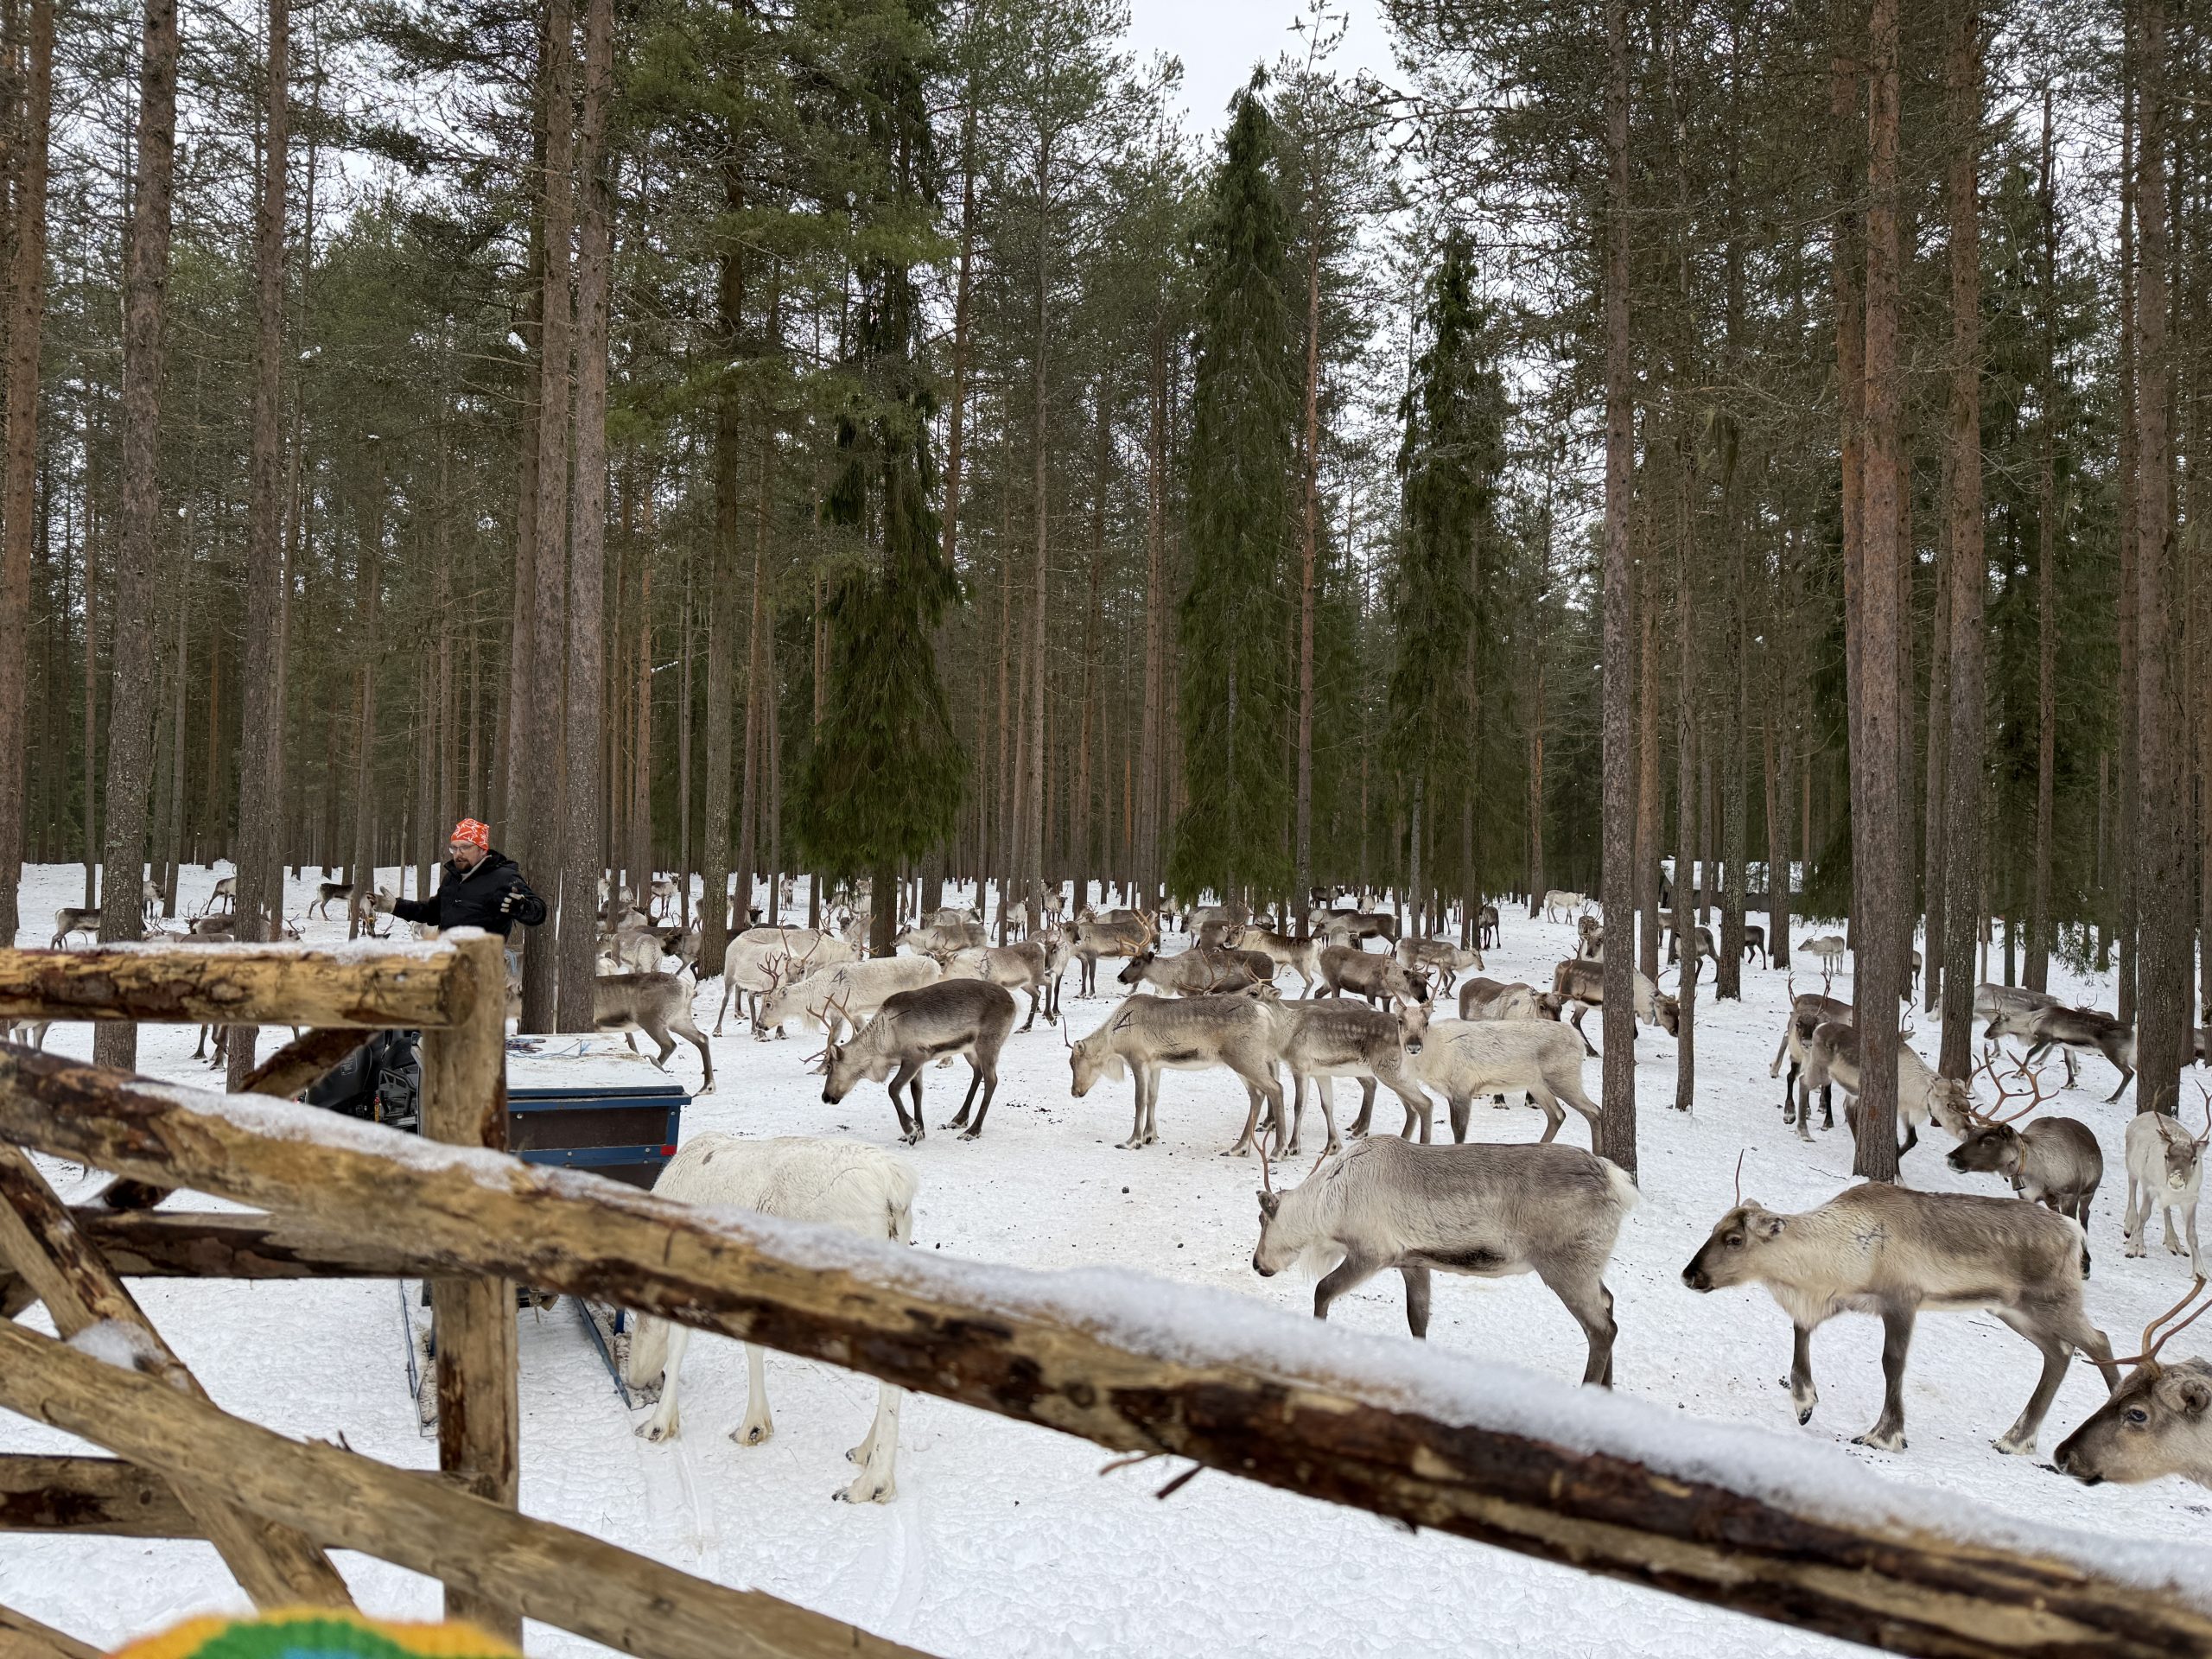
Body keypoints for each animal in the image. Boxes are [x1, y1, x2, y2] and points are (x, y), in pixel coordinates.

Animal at [820, 978, 1019, 1145]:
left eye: (829, 1066)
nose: (825, 1097)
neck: (883, 1045)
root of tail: (1013, 1001)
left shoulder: (915, 1057)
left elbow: (893, 1088)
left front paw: (911, 1130)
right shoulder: (917, 1063)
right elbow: (917, 1091)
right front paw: (920, 1130)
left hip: (988, 1043)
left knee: (992, 1079)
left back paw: (973, 1130)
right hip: (969, 1049)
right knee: (978, 1072)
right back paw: (959, 1119)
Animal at [1066, 992, 1289, 1156]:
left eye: (1072, 1063)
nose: (1074, 1091)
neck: (1113, 1041)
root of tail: (1264, 1012)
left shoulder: (1137, 1060)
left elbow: (1139, 1100)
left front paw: (1132, 1141)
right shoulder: (1155, 1065)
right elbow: (1152, 1098)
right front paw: (1149, 1136)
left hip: (1244, 1058)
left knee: (1275, 1088)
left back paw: (1278, 1150)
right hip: (1243, 1061)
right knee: (1257, 1095)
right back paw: (1239, 1148)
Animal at [1252, 1135, 1638, 1385]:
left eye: (1261, 1220)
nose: (1257, 1264)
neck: (1329, 1206)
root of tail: (1619, 1183)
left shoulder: (1372, 1252)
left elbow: (1323, 1290)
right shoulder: (1413, 1261)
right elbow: (1418, 1320)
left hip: (1565, 1266)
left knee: (1602, 1328)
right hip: (1589, 1263)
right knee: (1609, 1302)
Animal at [1684, 1169, 2121, 1456]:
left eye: (1735, 1239)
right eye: (1714, 1229)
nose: (1690, 1275)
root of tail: (2074, 1233)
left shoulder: (1902, 1301)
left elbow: (1892, 1362)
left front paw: (1885, 1434)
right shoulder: (1836, 1299)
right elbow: (1799, 1330)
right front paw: (1804, 1403)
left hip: (2052, 1301)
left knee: (2098, 1340)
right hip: (2013, 1310)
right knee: (2059, 1352)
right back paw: (2015, 1439)